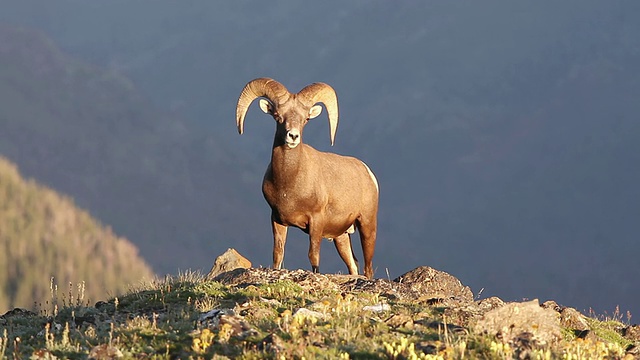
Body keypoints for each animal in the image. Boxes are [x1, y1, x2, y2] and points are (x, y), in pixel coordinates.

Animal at [236, 78, 380, 278]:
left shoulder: (316, 222)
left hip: (367, 225)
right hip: (341, 237)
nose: (293, 136)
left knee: (367, 265)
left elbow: (313, 256)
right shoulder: (277, 220)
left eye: (306, 119)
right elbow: (278, 254)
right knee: (353, 264)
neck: (289, 185)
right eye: (278, 116)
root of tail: (367, 172)